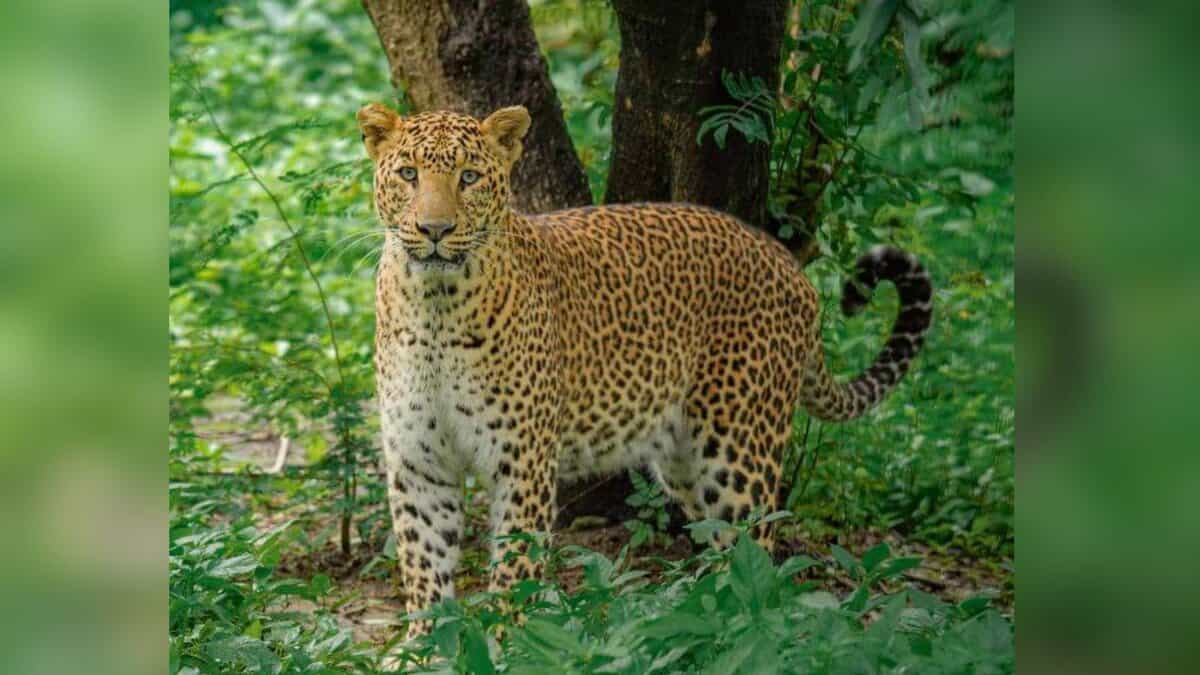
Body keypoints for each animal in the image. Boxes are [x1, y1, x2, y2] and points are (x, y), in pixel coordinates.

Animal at [357, 103, 933, 640]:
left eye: (470, 177)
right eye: (408, 174)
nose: (435, 230)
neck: (435, 306)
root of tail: (788, 263)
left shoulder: (521, 463)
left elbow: (515, 570)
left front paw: (506, 644)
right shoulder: (419, 461)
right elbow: (424, 563)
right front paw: (425, 646)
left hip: (737, 452)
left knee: (758, 548)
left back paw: (746, 635)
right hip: (683, 462)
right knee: (726, 550)